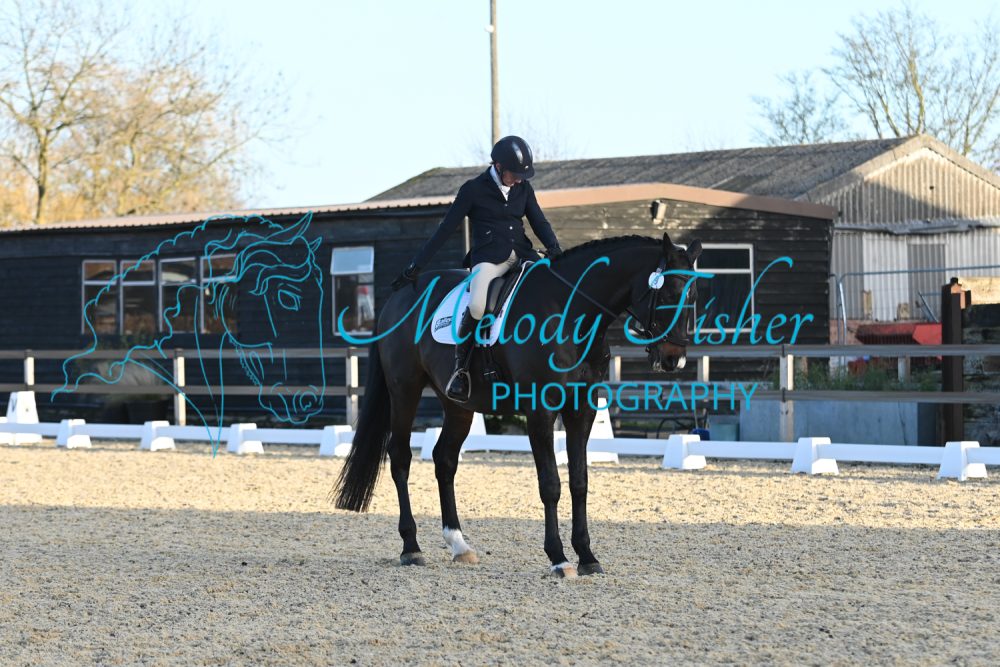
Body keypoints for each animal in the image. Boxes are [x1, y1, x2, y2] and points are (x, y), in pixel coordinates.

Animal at [334, 233, 703, 577]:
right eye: (668, 295)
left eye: (694, 298)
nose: (674, 360)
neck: (569, 312)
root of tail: (398, 296)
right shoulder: (540, 410)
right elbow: (550, 484)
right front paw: (558, 558)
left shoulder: (581, 409)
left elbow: (579, 482)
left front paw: (587, 556)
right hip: (404, 391)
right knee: (400, 458)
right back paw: (411, 547)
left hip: (458, 404)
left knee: (445, 460)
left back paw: (459, 544)